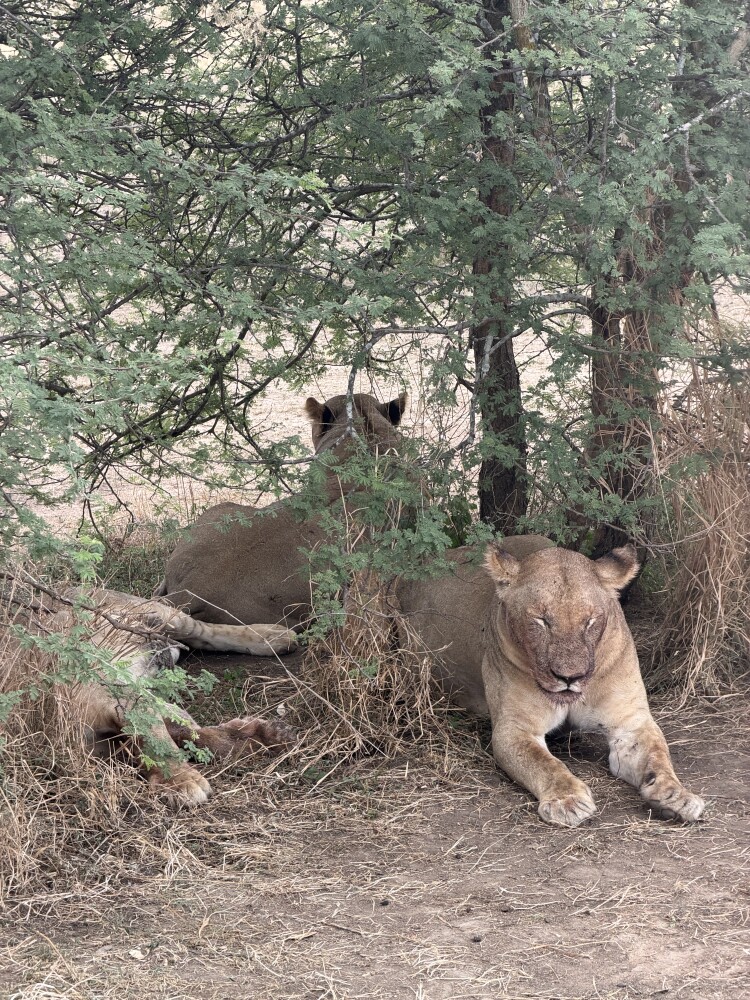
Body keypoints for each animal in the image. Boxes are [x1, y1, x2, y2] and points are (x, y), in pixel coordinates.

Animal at [55, 588, 297, 805]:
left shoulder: (117, 688)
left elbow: (160, 736)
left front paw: (181, 781)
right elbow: (182, 730)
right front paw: (259, 737)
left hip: (165, 615)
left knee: (206, 631)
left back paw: (273, 637)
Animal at [397, 539, 706, 827]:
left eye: (590, 621)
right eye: (541, 621)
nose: (570, 678)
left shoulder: (630, 723)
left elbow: (658, 754)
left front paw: (675, 795)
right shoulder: (515, 729)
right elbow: (545, 764)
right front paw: (567, 800)